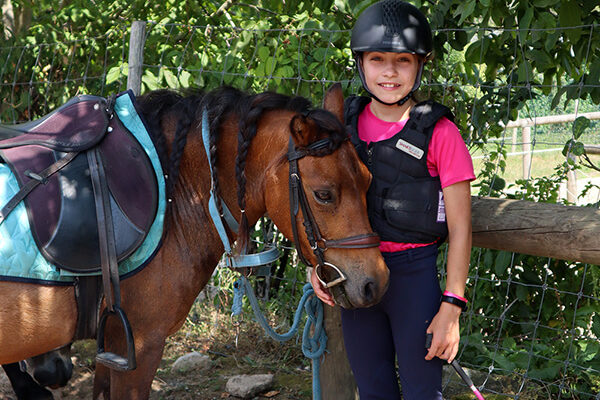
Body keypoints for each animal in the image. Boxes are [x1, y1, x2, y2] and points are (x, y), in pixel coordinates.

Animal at [0, 84, 390, 396]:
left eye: (369, 180)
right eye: (324, 194)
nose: (376, 281)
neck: (174, 191)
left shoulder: (111, 349)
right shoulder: (137, 347)